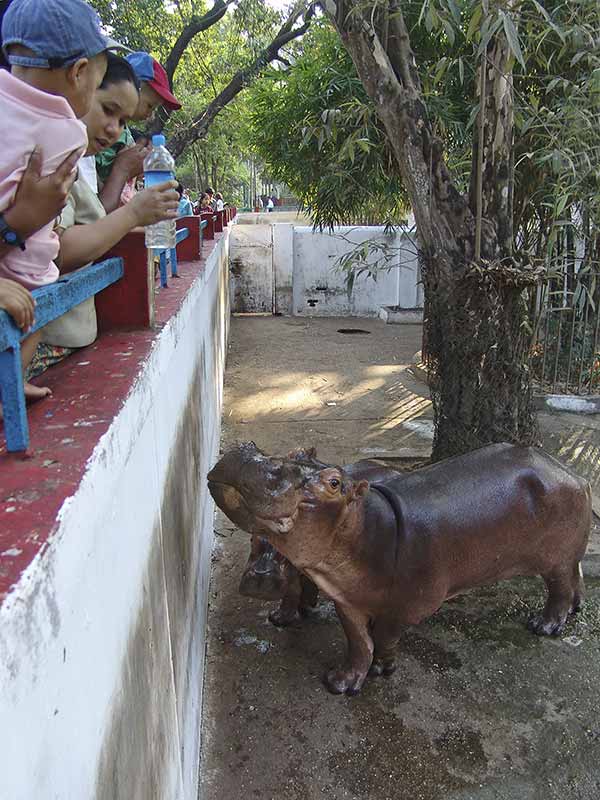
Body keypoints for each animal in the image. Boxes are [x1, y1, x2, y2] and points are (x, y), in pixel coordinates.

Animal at [207, 440, 592, 696]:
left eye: (334, 483)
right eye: (294, 453)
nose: (251, 452)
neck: (366, 527)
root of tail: (572, 473)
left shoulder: (409, 605)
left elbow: (383, 636)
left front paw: (381, 668)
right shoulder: (346, 599)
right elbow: (358, 641)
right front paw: (340, 683)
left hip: (555, 560)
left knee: (559, 588)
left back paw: (544, 626)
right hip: (566, 556)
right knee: (576, 578)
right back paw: (575, 609)